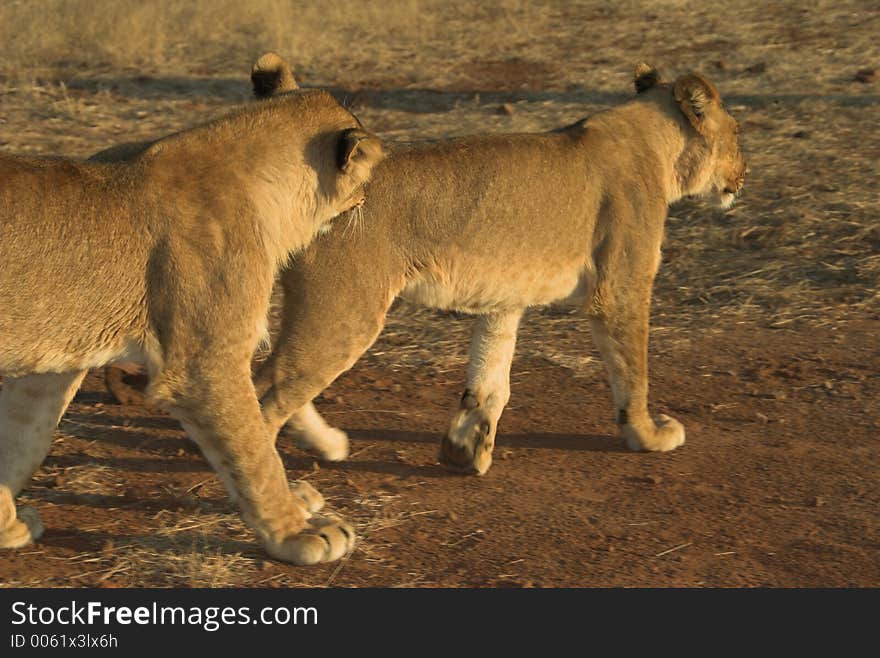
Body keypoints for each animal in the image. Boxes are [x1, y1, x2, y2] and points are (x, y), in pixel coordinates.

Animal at [0, 86, 384, 564]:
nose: (371, 198)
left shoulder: (52, 362)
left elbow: (21, 438)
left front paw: (7, 526)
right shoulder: (203, 365)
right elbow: (255, 454)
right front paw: (297, 532)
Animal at [246, 55, 744, 472]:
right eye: (738, 135)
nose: (745, 173)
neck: (653, 142)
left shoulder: (505, 296)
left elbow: (489, 375)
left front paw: (465, 450)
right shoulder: (621, 287)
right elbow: (633, 371)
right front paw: (649, 435)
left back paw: (327, 444)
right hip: (346, 311)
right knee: (267, 390)